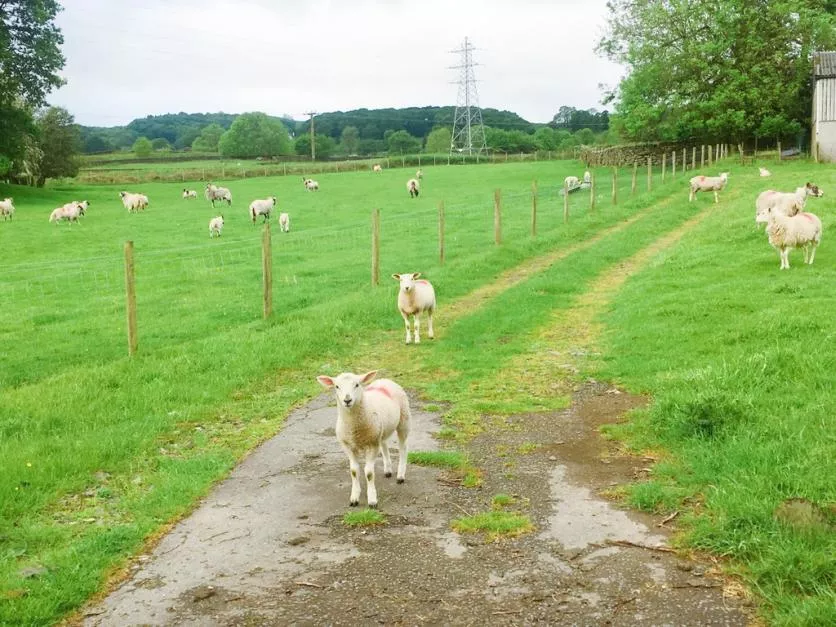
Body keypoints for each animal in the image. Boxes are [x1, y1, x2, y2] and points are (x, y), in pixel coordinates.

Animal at [316, 370, 412, 508]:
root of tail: (385, 380)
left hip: (404, 419)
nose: (347, 400)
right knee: (384, 444)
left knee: (403, 447)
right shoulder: (348, 446)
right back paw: (388, 470)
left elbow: (369, 473)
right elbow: (354, 471)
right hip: (380, 430)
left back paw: (400, 476)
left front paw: (372, 500)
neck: (354, 429)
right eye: (337, 386)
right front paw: (354, 498)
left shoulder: (372, 445)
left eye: (357, 384)